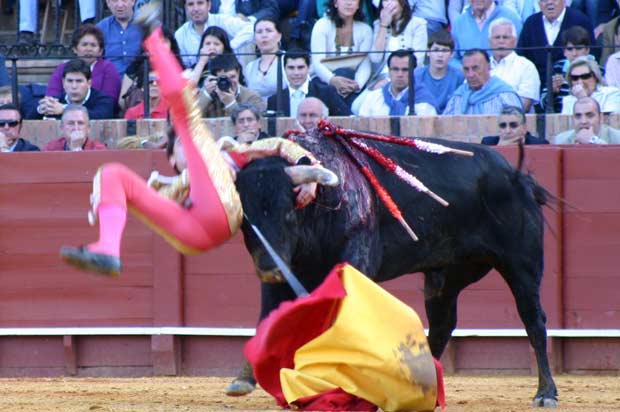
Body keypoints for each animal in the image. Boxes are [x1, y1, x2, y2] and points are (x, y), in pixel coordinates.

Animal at [231, 131, 556, 406]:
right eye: (245, 219)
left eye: (288, 211)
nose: (268, 268)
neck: (321, 204)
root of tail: (515, 175)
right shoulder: (283, 270)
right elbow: (269, 318)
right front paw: (245, 379)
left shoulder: (353, 262)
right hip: (446, 275)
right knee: (442, 325)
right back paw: (420, 386)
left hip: (521, 264)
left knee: (533, 319)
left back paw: (545, 393)